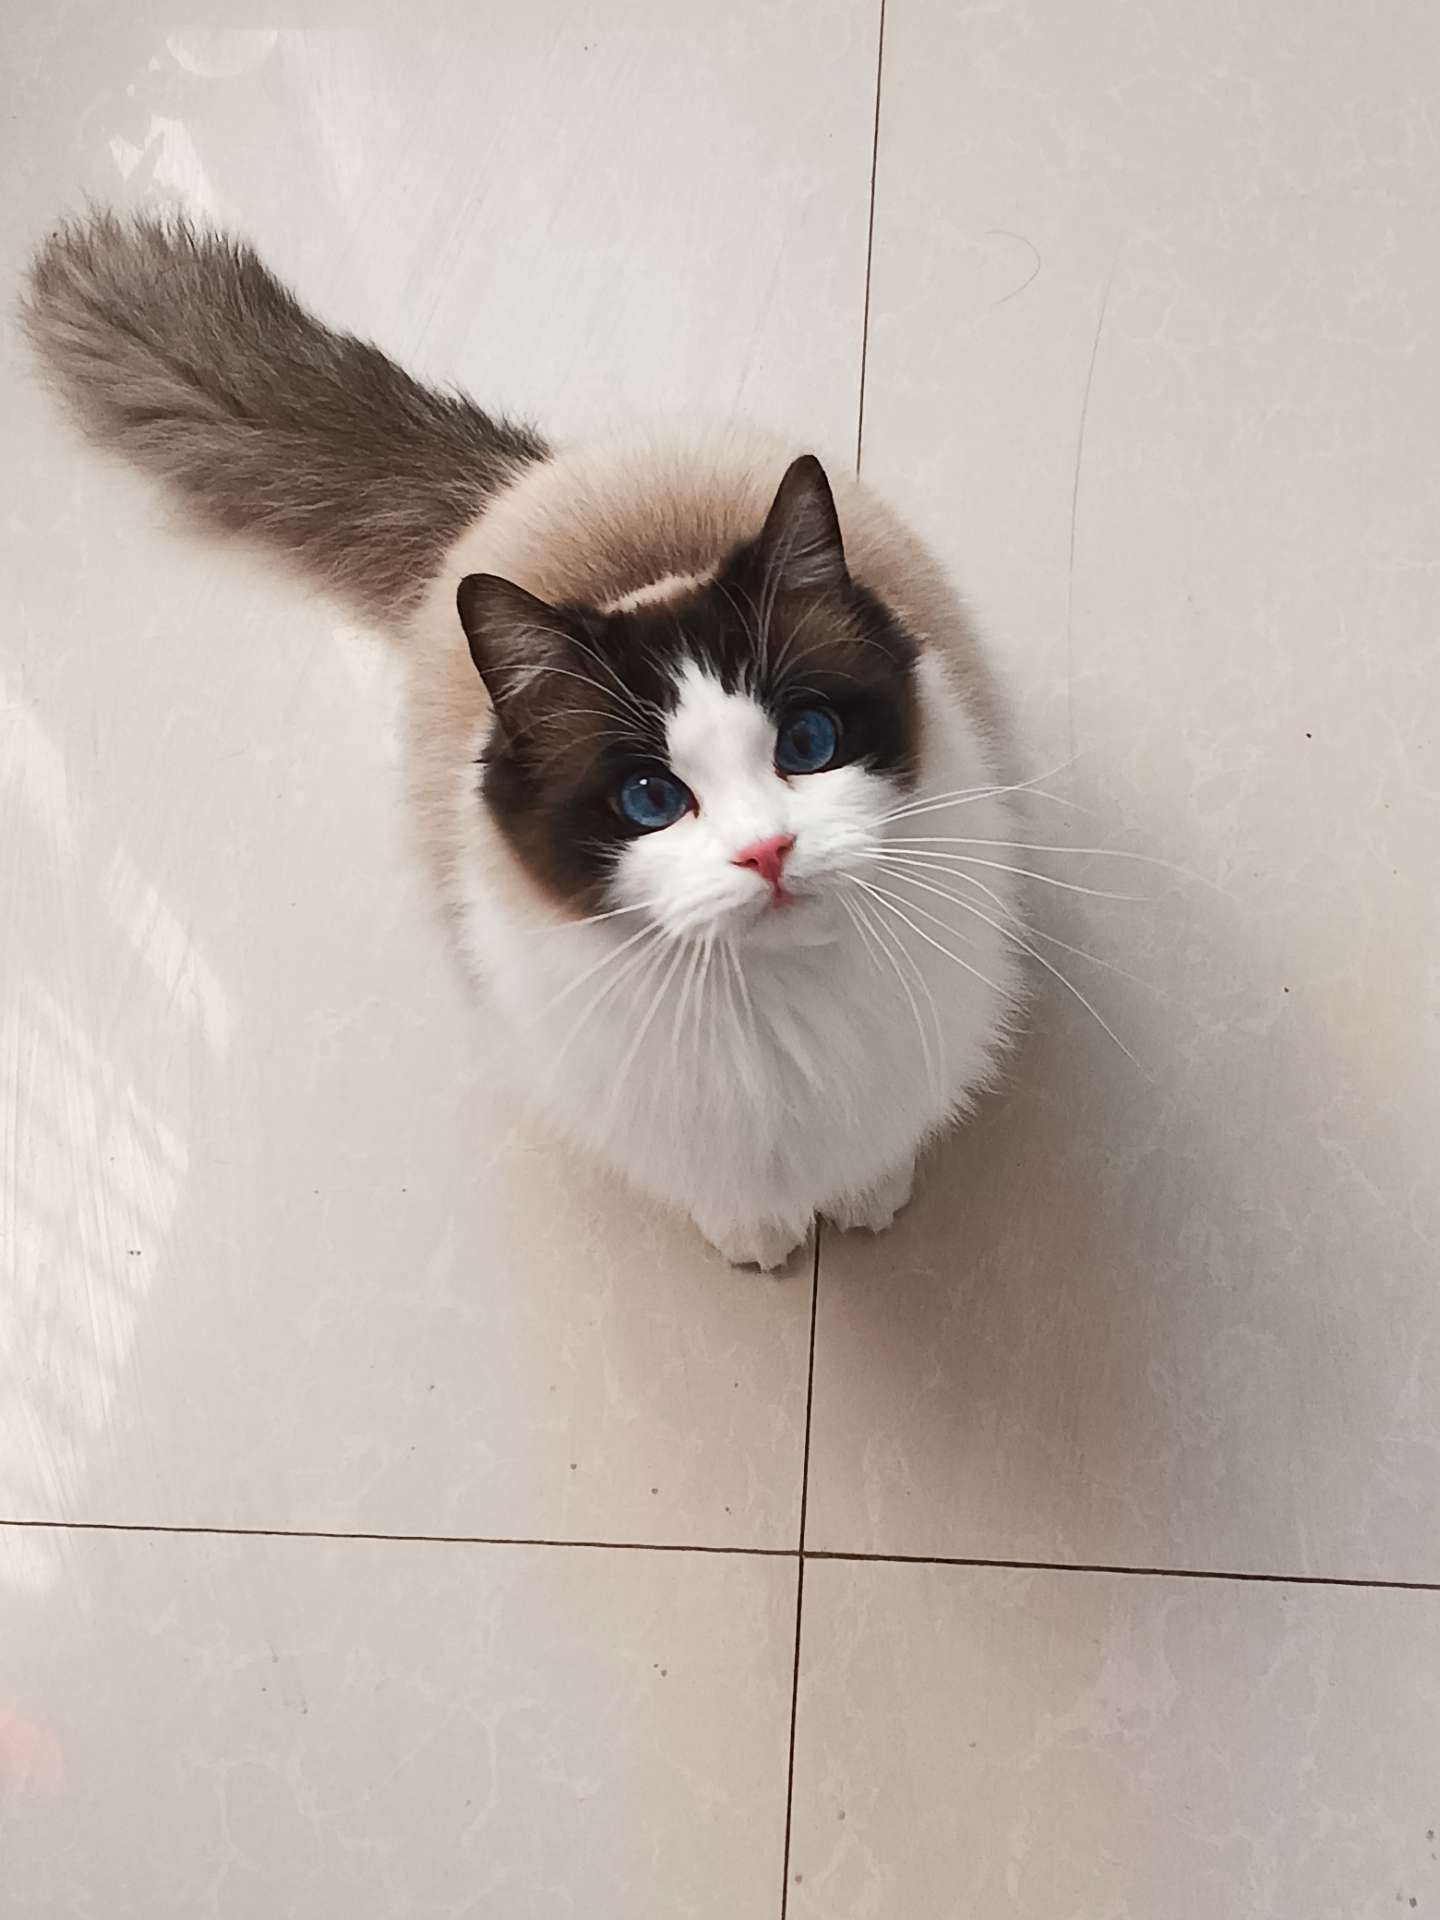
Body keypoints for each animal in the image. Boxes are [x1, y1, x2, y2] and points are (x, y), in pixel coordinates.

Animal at [23, 210, 1027, 1270]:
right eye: (650, 800)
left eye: (807, 742)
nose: (768, 852)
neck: (781, 1004)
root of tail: (517, 477)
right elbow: (722, 1182)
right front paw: (757, 1228)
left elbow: (885, 1133)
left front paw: (871, 1188)